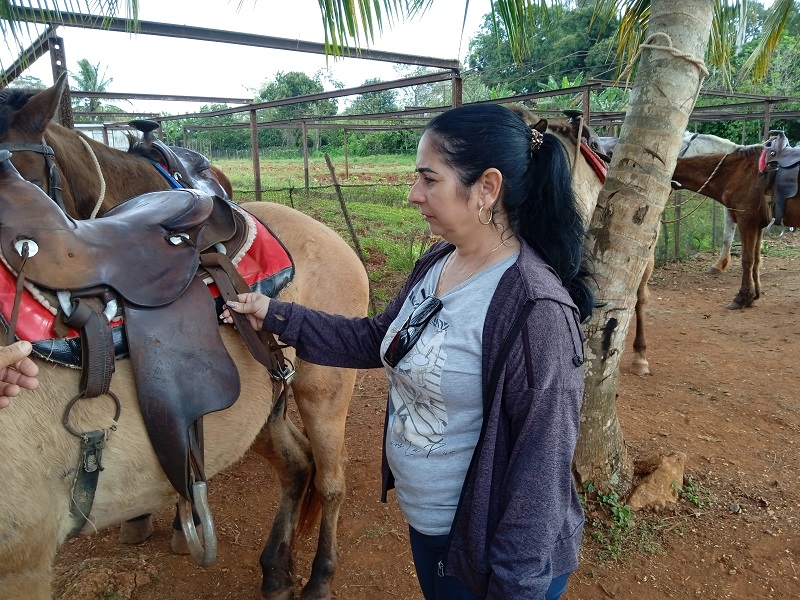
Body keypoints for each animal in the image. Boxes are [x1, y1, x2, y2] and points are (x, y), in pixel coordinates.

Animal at [0, 75, 368, 600]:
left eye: (30, 172)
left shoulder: (24, 559)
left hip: (325, 388)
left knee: (332, 482)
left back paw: (318, 579)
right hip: (262, 400)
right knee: (297, 466)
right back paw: (276, 571)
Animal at [668, 142, 788, 308]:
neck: (736, 173)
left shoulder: (746, 222)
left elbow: (747, 260)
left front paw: (742, 297)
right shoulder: (758, 225)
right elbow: (756, 260)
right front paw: (754, 295)